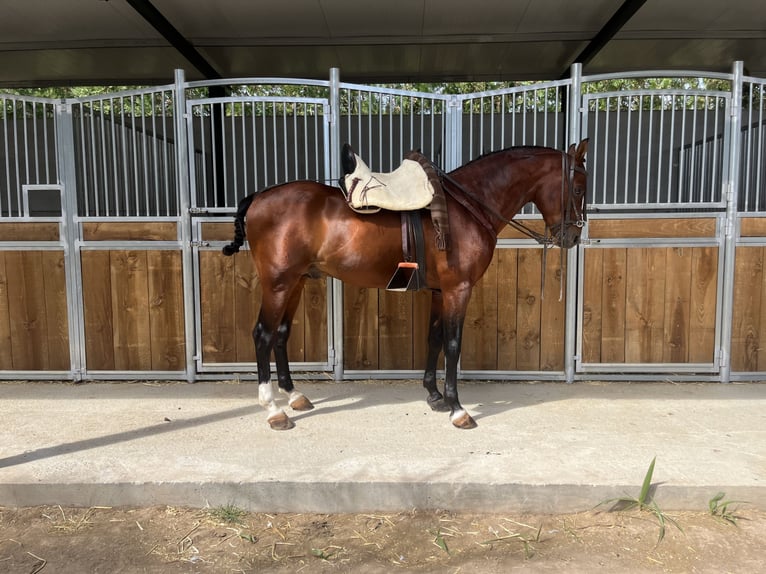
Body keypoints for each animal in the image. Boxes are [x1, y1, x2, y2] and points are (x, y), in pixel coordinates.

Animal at [222, 142, 592, 432]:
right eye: (577, 188)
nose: (573, 237)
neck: (466, 207)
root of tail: (258, 197)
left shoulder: (441, 292)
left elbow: (434, 339)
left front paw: (435, 396)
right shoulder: (458, 289)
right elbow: (453, 345)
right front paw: (458, 409)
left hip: (295, 283)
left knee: (281, 335)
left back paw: (294, 396)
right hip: (278, 284)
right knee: (263, 335)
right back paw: (274, 411)